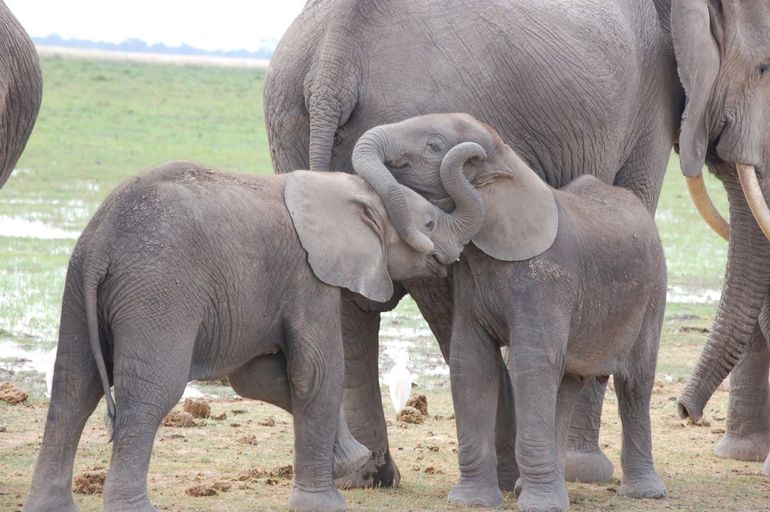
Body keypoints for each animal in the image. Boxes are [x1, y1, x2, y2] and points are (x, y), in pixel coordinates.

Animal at [22, 160, 480, 512]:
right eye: (429, 222)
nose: (448, 257)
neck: (342, 188)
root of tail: (104, 241)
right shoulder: (308, 275)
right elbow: (316, 372)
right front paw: (327, 502)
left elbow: (260, 380)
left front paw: (354, 465)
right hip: (158, 293)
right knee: (147, 396)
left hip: (77, 284)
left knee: (72, 388)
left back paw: (51, 507)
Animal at [352, 114, 664, 510]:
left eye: (434, 146)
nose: (433, 250)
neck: (507, 166)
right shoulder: (472, 282)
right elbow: (472, 363)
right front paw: (471, 500)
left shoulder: (547, 280)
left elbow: (531, 364)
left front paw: (539, 506)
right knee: (567, 384)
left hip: (653, 294)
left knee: (635, 383)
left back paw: (644, 492)